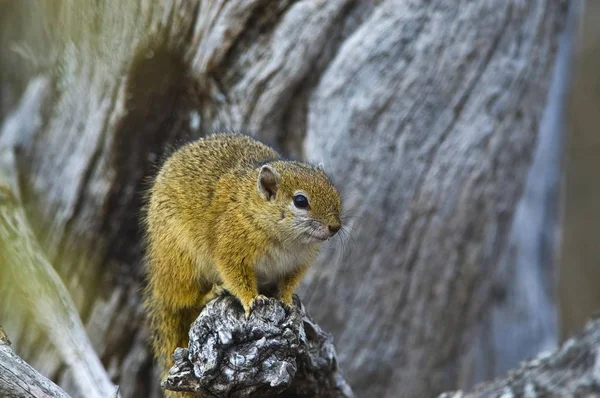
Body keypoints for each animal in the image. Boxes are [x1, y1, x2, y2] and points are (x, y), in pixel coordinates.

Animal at [143, 134, 342, 394]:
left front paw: (288, 301)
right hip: (181, 263)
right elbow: (237, 278)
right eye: (300, 201)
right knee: (183, 299)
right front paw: (252, 300)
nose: (335, 227)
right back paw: (210, 293)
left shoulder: (296, 265)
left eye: (334, 191)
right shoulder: (230, 251)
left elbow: (289, 284)